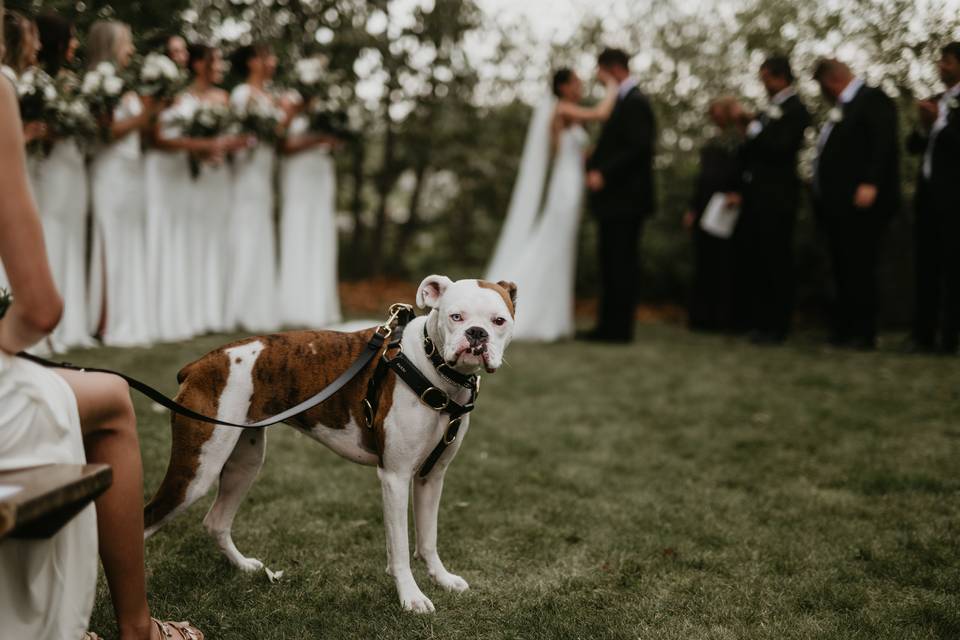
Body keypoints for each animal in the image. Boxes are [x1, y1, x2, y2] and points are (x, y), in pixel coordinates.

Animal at [143, 274, 516, 608]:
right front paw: (411, 597)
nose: (477, 334)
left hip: (243, 463)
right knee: (147, 521)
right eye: (456, 316)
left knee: (216, 521)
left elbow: (427, 539)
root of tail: (199, 364)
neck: (433, 368)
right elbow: (399, 546)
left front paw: (442, 579)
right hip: (196, 472)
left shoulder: (431, 477)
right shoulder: (395, 478)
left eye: (499, 321)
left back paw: (243, 566)